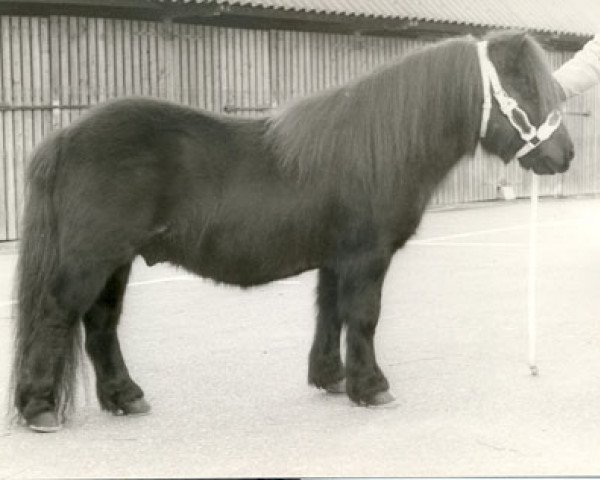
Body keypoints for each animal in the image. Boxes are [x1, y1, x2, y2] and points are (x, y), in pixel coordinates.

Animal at [8, 31, 572, 434]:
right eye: (522, 88)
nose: (564, 155)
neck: (378, 147)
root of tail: (63, 136)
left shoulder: (337, 259)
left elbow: (330, 313)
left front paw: (332, 378)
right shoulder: (366, 257)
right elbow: (363, 317)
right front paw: (372, 387)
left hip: (116, 260)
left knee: (101, 325)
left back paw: (126, 397)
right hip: (92, 257)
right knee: (57, 314)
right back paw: (38, 408)